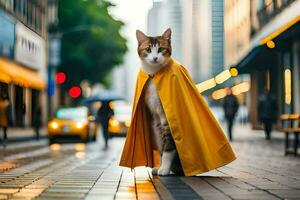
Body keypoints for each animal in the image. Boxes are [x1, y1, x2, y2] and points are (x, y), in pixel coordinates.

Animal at [136, 28, 183, 175]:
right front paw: (160, 166)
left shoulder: (167, 118)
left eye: (161, 49)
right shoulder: (155, 120)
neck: (154, 75)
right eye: (148, 49)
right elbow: (161, 146)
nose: (155, 58)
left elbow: (168, 147)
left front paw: (165, 169)